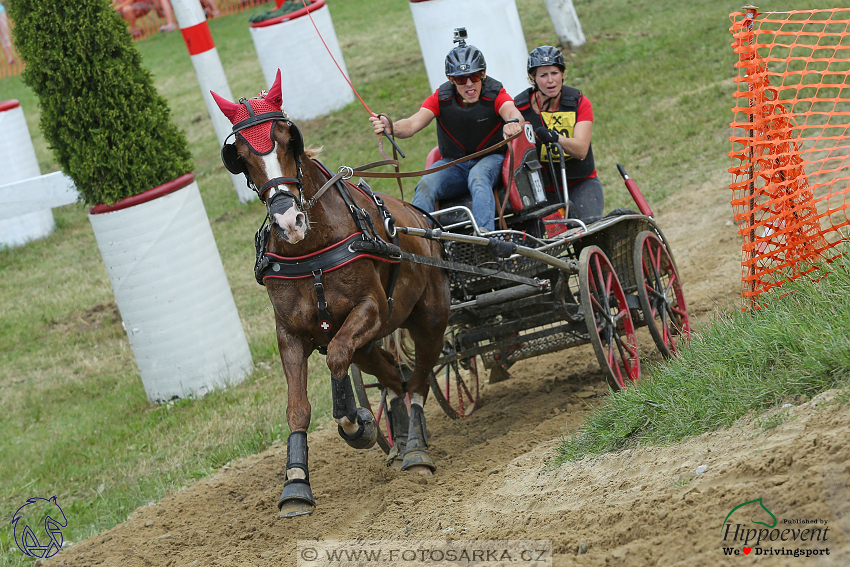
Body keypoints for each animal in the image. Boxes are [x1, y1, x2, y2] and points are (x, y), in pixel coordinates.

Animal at [212, 71, 450, 520]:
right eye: (242, 157)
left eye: (288, 139)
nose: (288, 221)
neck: (311, 249)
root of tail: (421, 220)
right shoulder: (290, 333)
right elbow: (297, 407)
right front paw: (295, 484)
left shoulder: (372, 310)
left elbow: (337, 359)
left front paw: (356, 424)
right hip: (370, 345)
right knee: (395, 375)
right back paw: (398, 439)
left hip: (429, 321)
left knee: (419, 381)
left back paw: (414, 449)